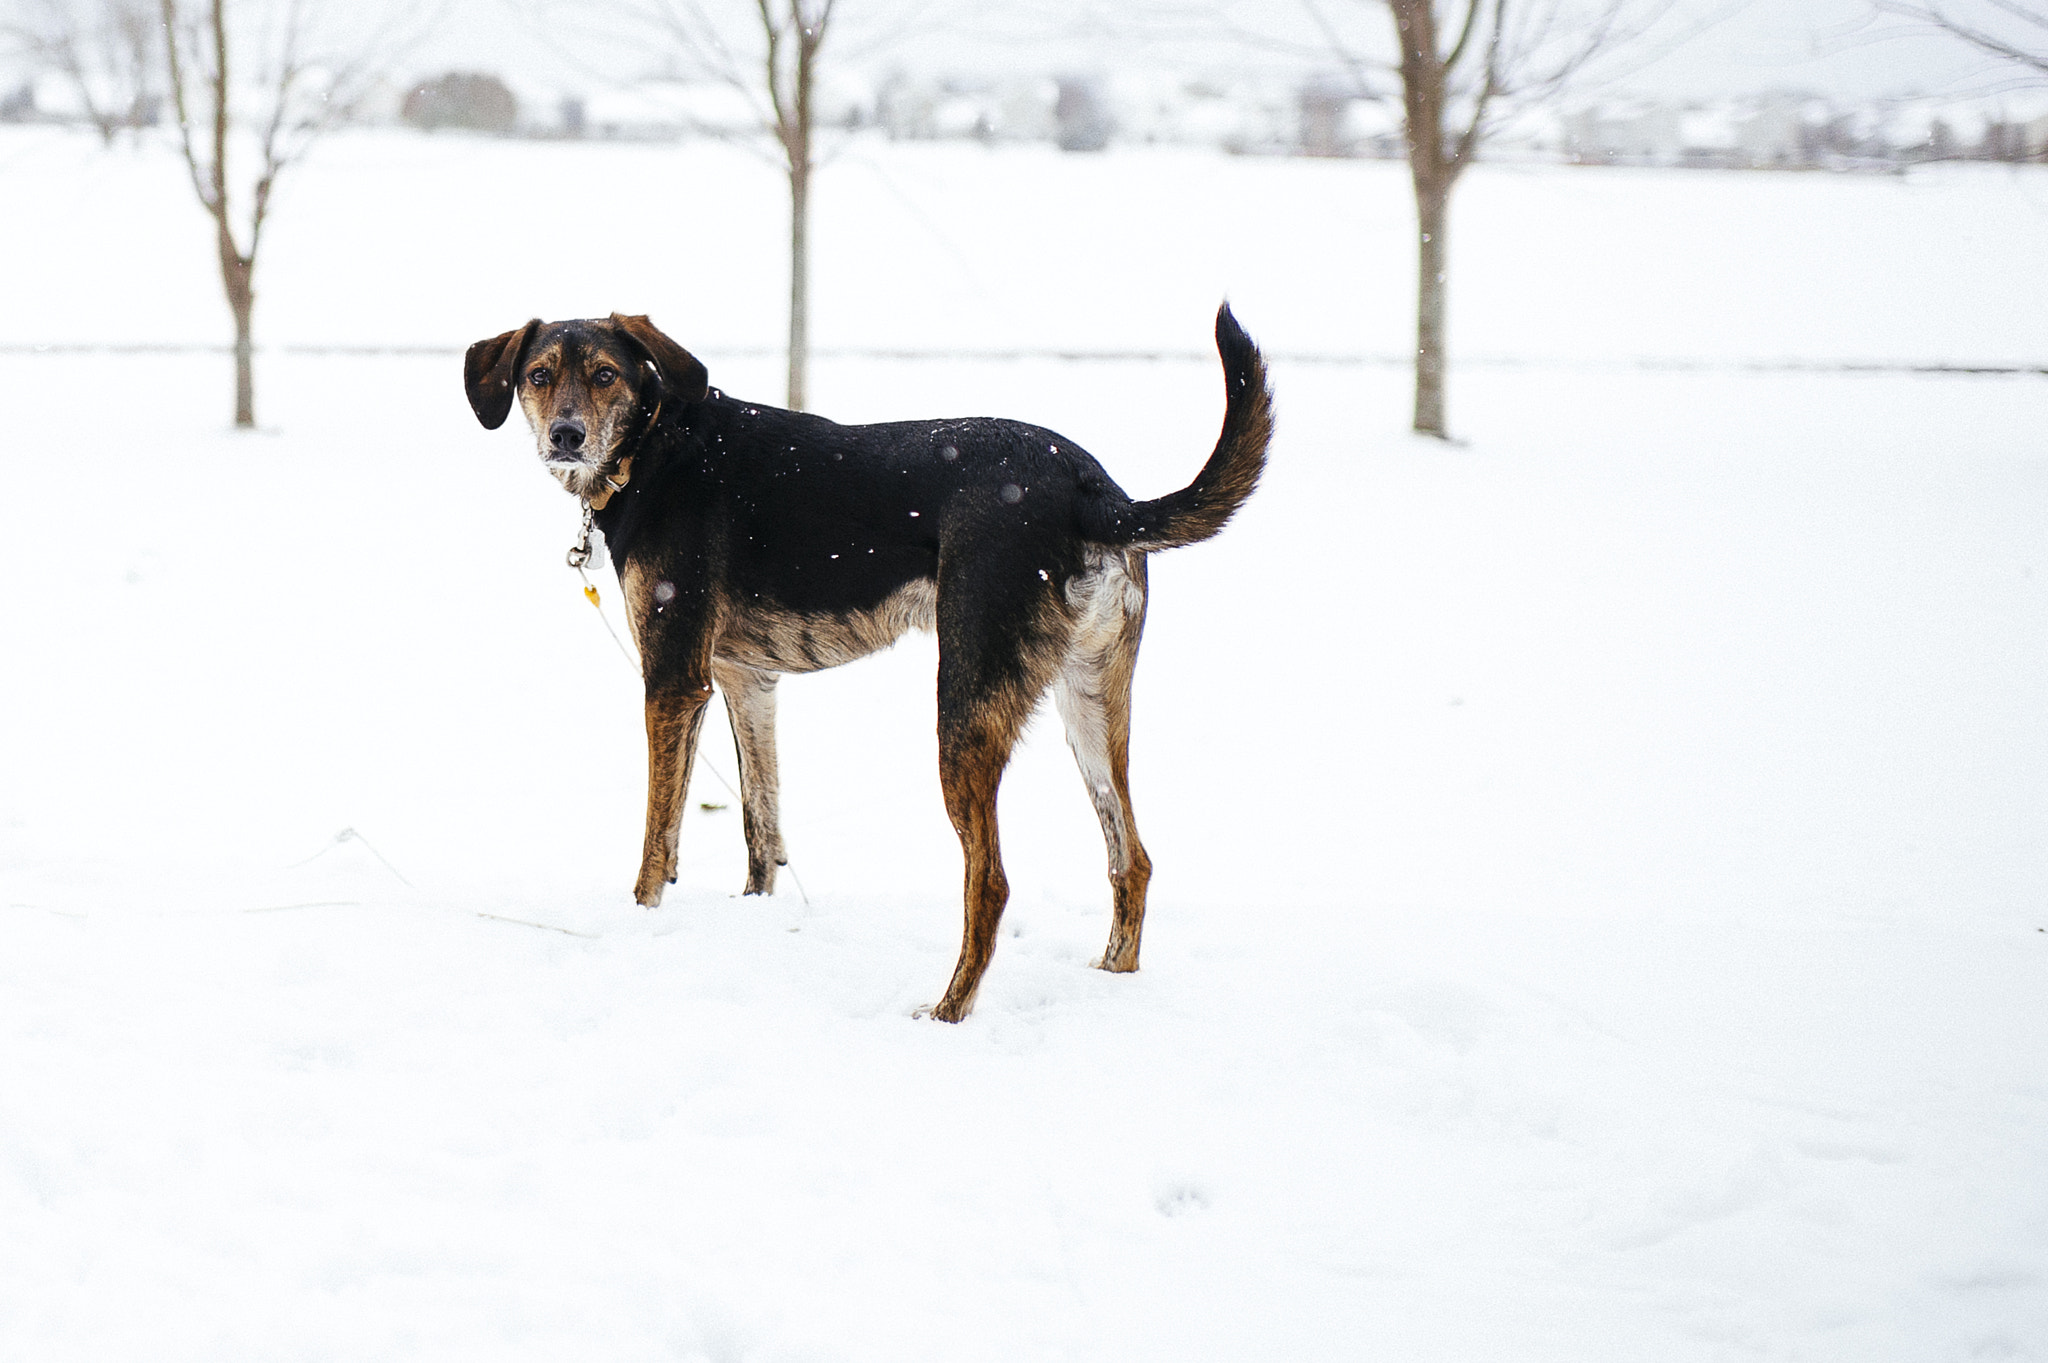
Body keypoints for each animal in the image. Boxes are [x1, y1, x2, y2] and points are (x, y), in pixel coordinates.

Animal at [464, 302, 1269, 1015]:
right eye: (538, 375)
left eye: (604, 375)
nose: (566, 435)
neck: (655, 448)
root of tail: (1093, 491)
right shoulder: (745, 681)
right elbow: (762, 828)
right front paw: (752, 919)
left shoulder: (672, 682)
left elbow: (657, 844)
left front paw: (641, 925)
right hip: (1093, 707)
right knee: (1131, 857)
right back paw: (1110, 978)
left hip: (965, 708)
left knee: (991, 882)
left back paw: (947, 1011)